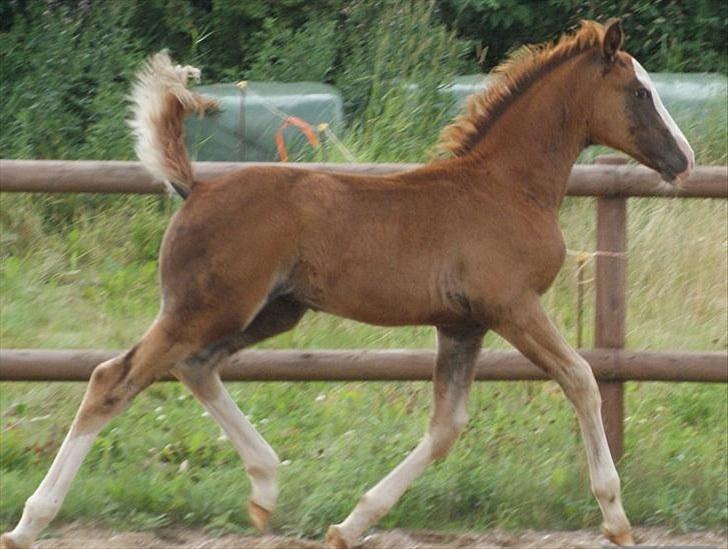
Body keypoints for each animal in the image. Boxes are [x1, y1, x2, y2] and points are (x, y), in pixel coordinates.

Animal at [1, 19, 692, 544]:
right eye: (640, 92)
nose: (683, 160)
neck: (506, 187)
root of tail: (196, 185)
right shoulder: (512, 307)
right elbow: (581, 379)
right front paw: (616, 518)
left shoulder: (461, 323)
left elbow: (446, 426)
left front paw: (351, 524)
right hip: (205, 307)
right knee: (111, 380)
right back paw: (33, 520)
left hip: (269, 311)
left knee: (194, 368)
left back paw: (266, 485)